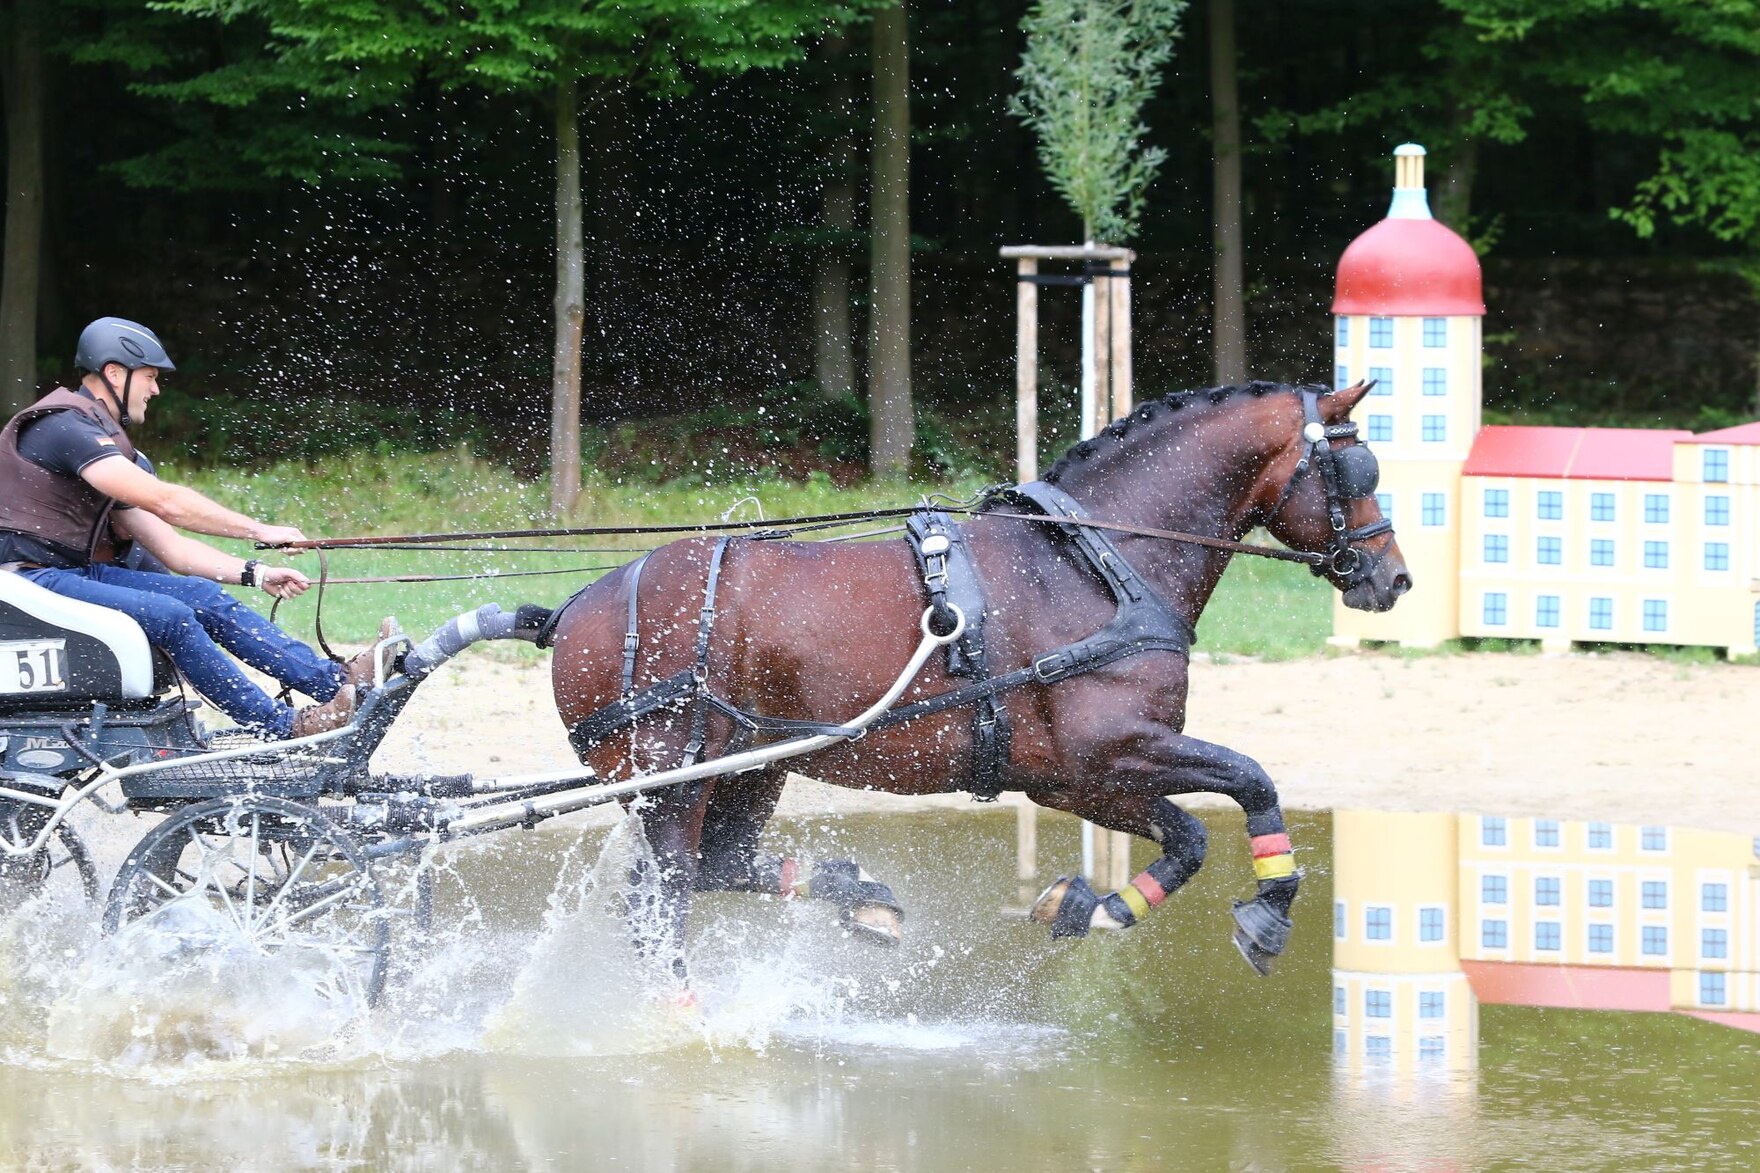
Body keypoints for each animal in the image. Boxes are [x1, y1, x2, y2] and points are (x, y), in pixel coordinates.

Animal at [549, 378, 1415, 972]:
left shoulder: (1072, 778)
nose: (1394, 577)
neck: (1099, 564)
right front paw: (1269, 912)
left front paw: (1088, 907)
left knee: (718, 867)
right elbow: (1252, 779)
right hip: (672, 777)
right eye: (1359, 467)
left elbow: (1192, 834)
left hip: (755, 765)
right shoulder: (1115, 747)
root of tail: (572, 610)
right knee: (662, 899)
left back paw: (862, 898)